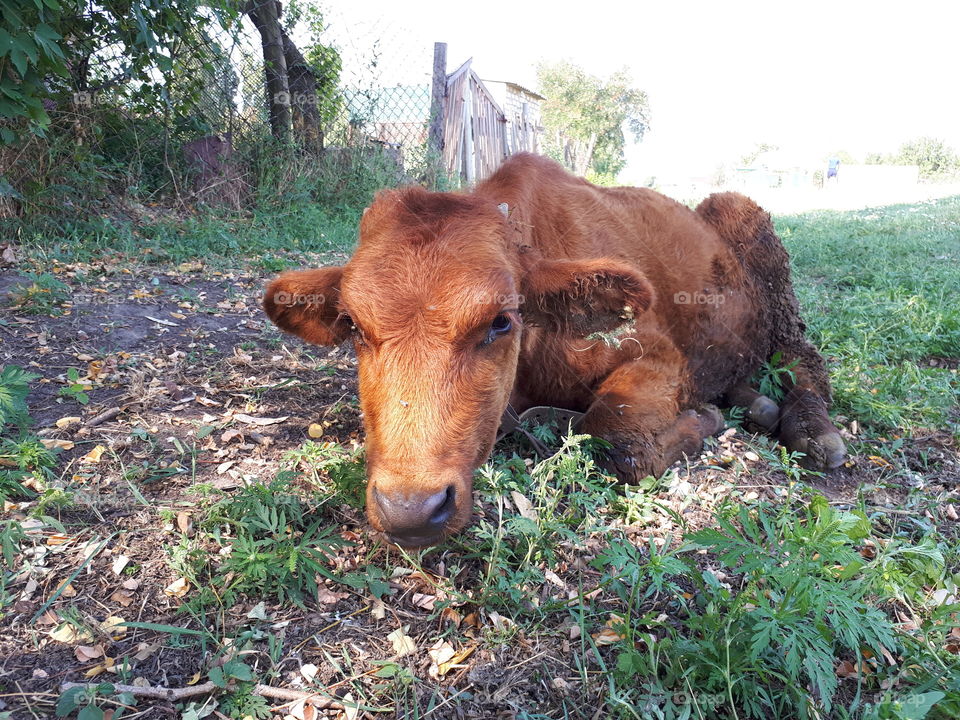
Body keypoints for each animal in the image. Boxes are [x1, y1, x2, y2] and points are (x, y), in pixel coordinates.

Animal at [264, 153, 846, 547]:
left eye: (501, 321)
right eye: (353, 326)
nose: (412, 510)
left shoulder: (660, 356)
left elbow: (617, 439)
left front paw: (703, 418)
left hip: (774, 289)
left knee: (803, 360)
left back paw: (812, 429)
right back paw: (757, 403)